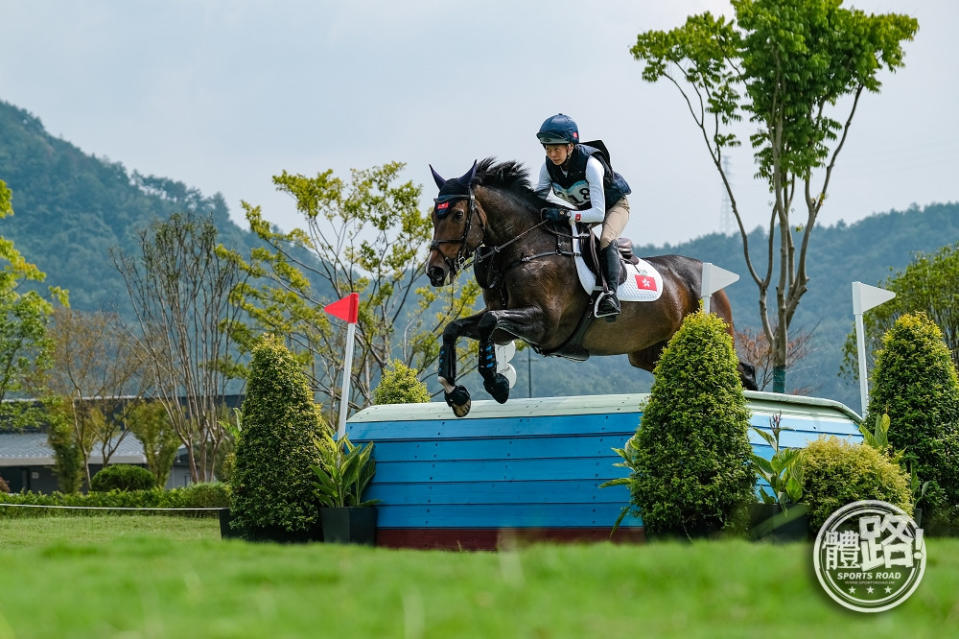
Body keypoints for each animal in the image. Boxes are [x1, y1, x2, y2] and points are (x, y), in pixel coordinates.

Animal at [428, 159, 756, 418]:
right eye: (434, 215)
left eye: (458, 215)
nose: (435, 271)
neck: (526, 248)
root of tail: (708, 276)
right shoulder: (509, 325)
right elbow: (457, 328)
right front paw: (456, 394)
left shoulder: (543, 323)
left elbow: (487, 321)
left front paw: (497, 384)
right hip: (652, 351)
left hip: (715, 332)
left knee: (743, 371)